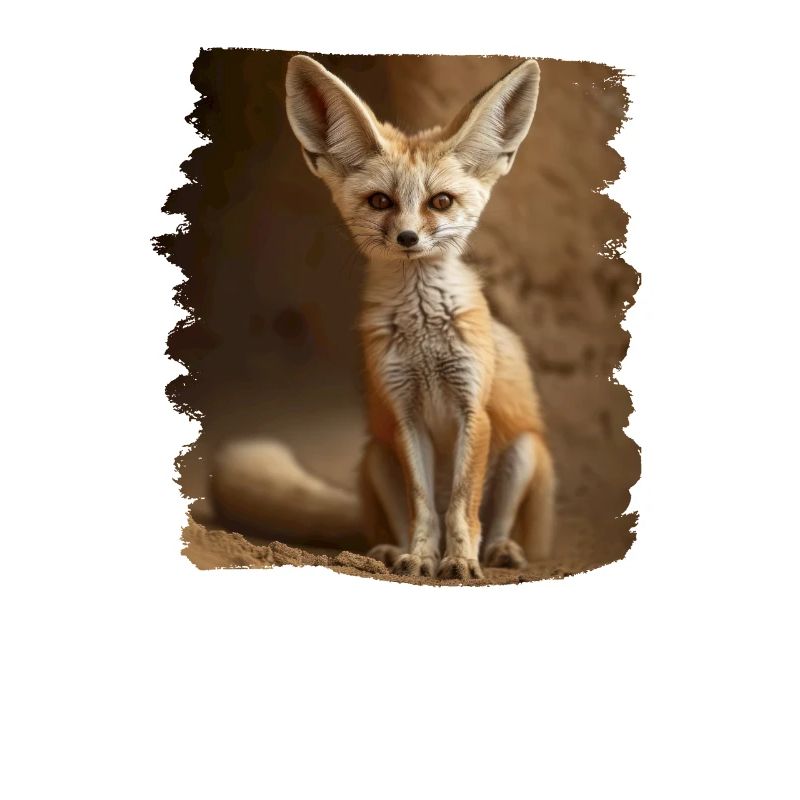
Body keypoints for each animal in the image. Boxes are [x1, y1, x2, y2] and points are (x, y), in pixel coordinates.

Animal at [210, 54, 556, 580]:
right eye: (380, 201)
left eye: (441, 202)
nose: (408, 238)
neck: (425, 337)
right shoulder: (403, 413)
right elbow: (424, 506)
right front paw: (422, 557)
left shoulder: (471, 408)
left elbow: (461, 506)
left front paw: (460, 560)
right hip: (377, 455)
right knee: (391, 520)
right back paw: (390, 552)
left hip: (523, 451)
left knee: (500, 525)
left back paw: (500, 551)